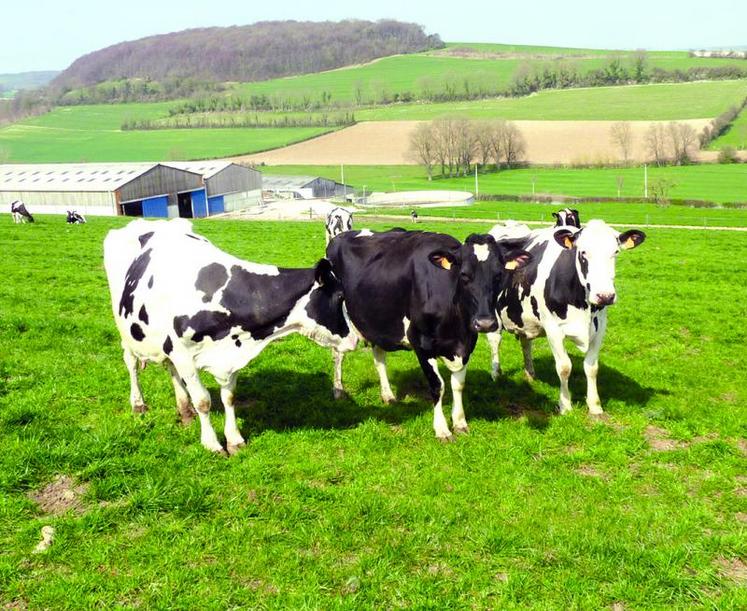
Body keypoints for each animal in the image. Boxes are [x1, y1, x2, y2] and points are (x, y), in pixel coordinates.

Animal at [105, 219, 360, 454]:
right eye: (340, 296)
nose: (355, 340)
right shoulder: (184, 355)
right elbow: (203, 401)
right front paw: (212, 444)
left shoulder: (231, 353)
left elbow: (228, 398)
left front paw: (234, 439)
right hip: (126, 330)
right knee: (131, 363)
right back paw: (138, 404)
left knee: (171, 369)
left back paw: (185, 411)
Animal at [328, 228, 532, 440]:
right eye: (464, 275)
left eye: (498, 275)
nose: (485, 323)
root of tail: (342, 235)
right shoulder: (422, 343)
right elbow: (437, 386)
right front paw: (441, 429)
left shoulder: (467, 344)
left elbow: (458, 384)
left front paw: (460, 422)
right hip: (339, 319)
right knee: (337, 354)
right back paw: (338, 390)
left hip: (377, 320)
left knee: (379, 357)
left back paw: (388, 395)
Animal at [488, 220, 644, 416]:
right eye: (583, 252)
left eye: (615, 252)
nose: (605, 296)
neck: (583, 306)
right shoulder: (553, 329)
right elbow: (564, 367)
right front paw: (565, 406)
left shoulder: (600, 327)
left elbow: (592, 367)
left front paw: (595, 406)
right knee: (495, 342)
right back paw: (496, 374)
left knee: (526, 343)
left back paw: (530, 374)